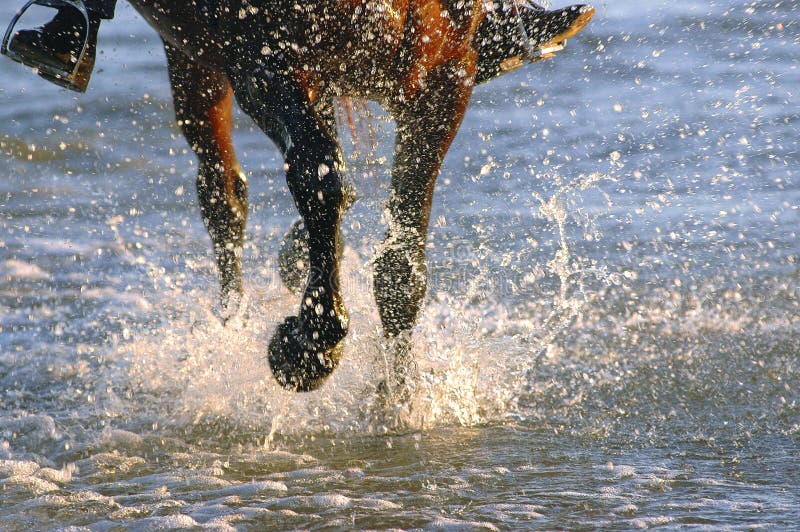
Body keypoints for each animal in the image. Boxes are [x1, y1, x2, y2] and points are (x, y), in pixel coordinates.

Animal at [117, 0, 592, 390]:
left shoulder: (446, 75)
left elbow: (401, 266)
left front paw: (398, 398)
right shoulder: (263, 64)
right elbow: (319, 181)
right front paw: (310, 348)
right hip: (196, 53)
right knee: (224, 192)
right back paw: (234, 322)